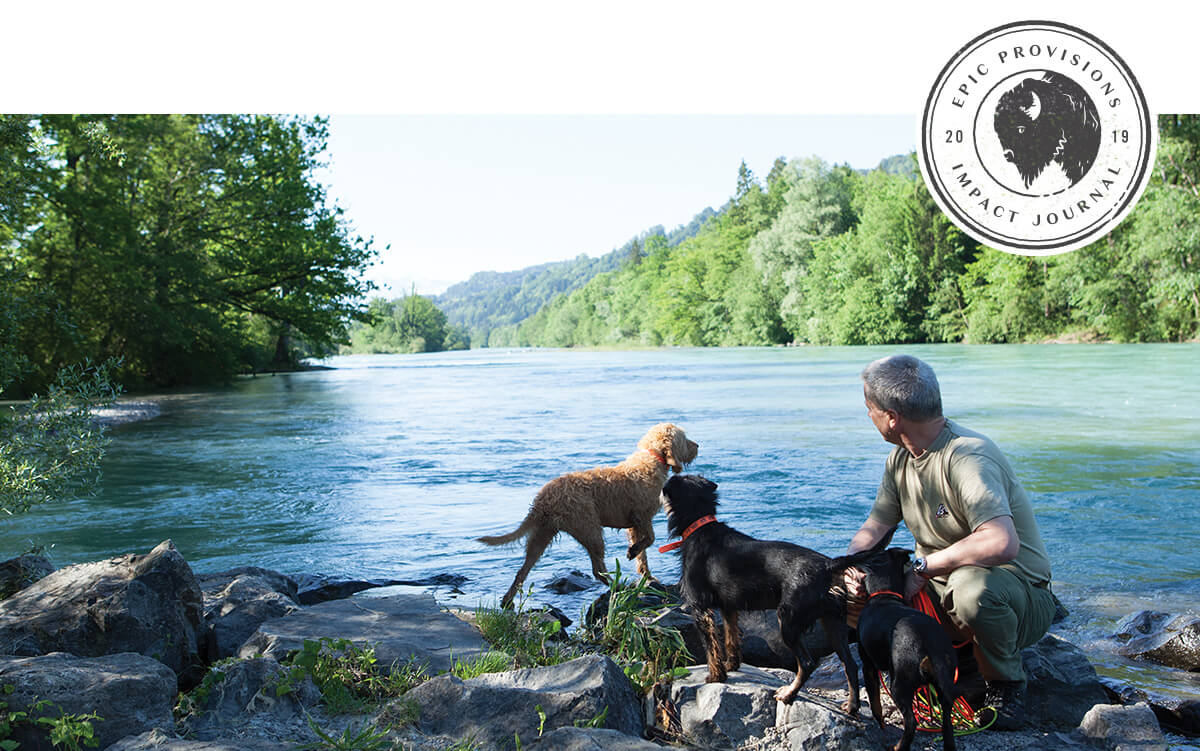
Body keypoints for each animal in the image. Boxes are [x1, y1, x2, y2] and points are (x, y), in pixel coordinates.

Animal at [477, 424, 700, 604]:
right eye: (684, 438)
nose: (697, 445)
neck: (651, 458)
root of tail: (543, 499)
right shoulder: (641, 515)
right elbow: (650, 539)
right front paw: (632, 552)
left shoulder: (634, 525)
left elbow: (643, 554)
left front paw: (647, 575)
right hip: (590, 528)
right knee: (597, 569)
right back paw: (618, 586)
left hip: (542, 535)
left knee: (522, 570)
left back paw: (507, 600)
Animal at [657, 472, 864, 705]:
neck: (700, 525)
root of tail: (828, 565)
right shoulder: (728, 607)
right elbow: (730, 638)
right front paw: (732, 665)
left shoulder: (700, 609)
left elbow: (711, 647)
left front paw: (716, 675)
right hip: (833, 622)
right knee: (850, 664)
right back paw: (852, 706)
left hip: (789, 621)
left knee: (807, 663)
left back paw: (788, 694)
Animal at [840, 544, 960, 748]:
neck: (884, 594)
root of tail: (931, 646)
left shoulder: (868, 667)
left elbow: (876, 704)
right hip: (945, 686)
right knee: (947, 725)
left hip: (899, 683)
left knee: (911, 722)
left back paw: (898, 746)